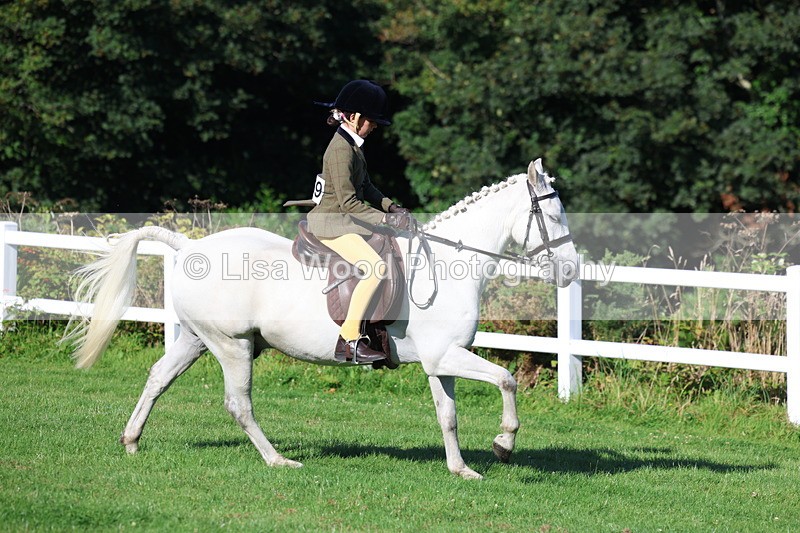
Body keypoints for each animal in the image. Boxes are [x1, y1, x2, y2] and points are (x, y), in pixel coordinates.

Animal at [67, 158, 578, 480]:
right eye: (552, 214)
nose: (571, 271)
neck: (450, 267)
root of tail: (190, 247)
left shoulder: (441, 360)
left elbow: (448, 415)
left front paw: (462, 469)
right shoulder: (446, 356)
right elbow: (507, 379)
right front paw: (504, 444)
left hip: (197, 339)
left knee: (158, 378)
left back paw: (131, 440)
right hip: (233, 345)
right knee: (238, 404)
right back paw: (278, 462)